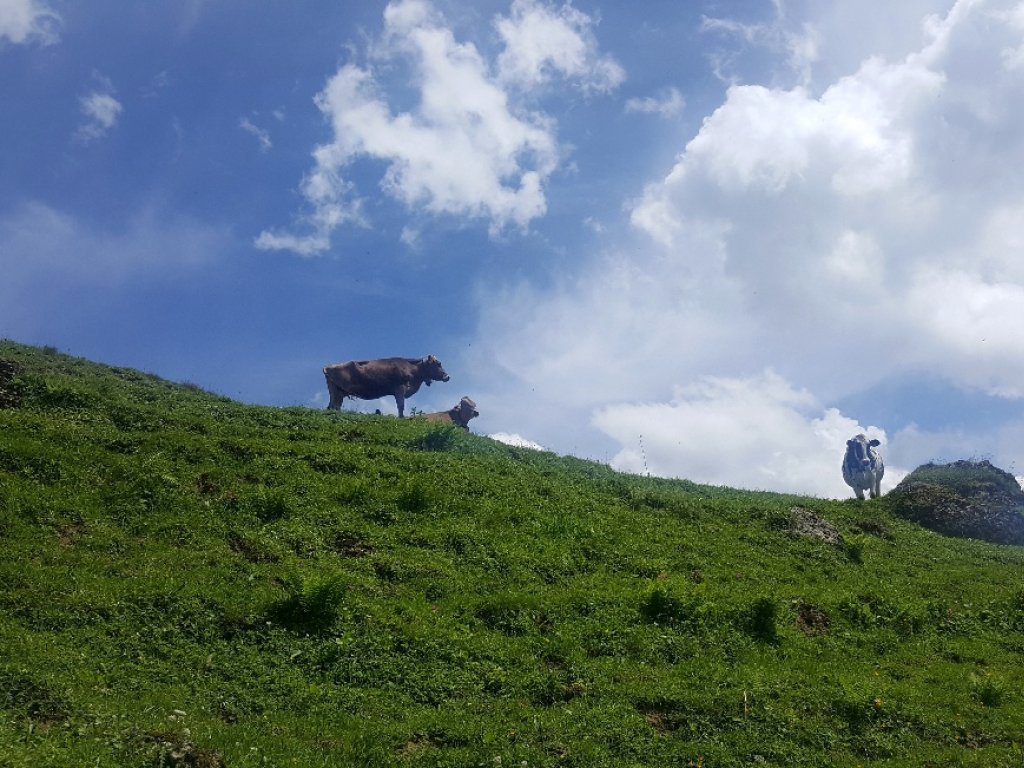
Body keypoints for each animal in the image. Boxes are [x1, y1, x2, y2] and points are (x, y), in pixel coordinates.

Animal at [319, 356, 448, 417]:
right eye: (438, 364)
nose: (447, 376)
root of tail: (328, 366)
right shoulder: (400, 388)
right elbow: (401, 406)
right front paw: (401, 418)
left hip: (337, 391)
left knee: (333, 407)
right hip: (337, 392)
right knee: (334, 406)